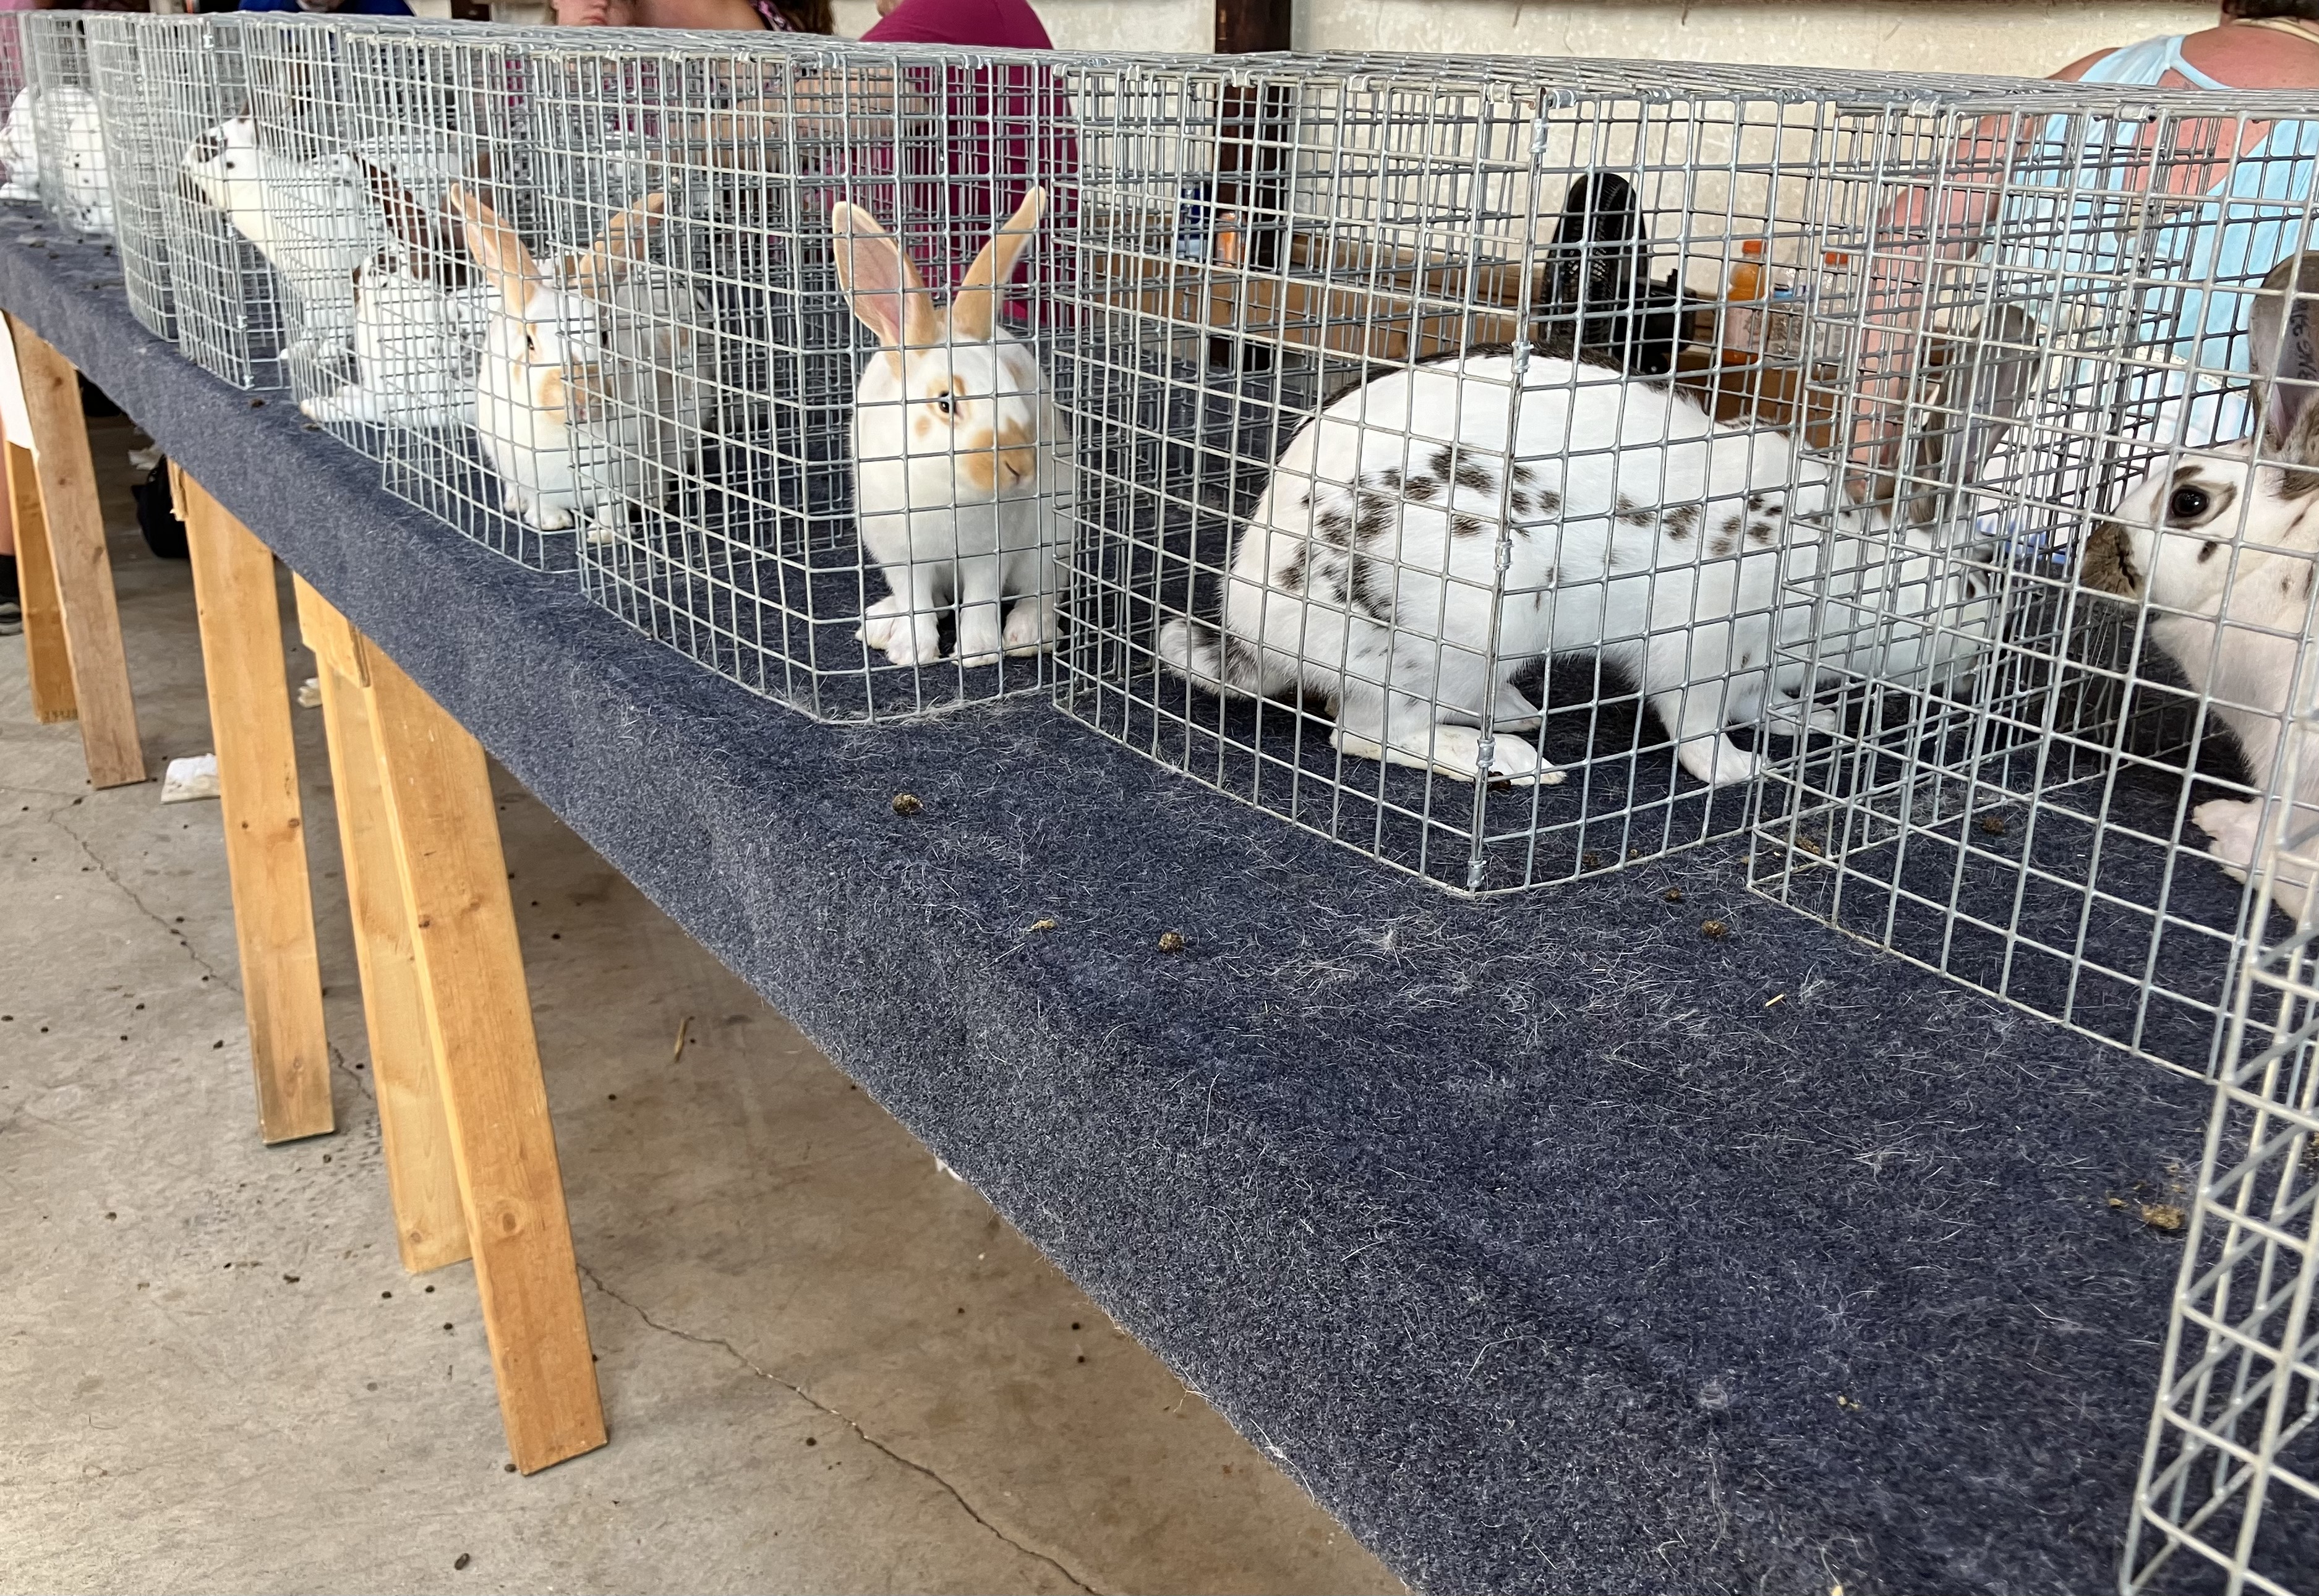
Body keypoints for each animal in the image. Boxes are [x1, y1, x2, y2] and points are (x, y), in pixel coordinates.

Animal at [301, 160, 488, 431]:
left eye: (378, 264)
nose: (353, 277)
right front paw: (343, 390)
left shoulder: (401, 406)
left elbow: (360, 408)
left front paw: (314, 406)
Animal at [450, 185, 704, 539]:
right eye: (529, 343)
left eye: (605, 336)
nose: (583, 397)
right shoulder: (531, 476)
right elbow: (542, 501)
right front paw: (551, 523)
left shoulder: (620, 474)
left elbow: (611, 507)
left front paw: (605, 536)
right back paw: (515, 504)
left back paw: (655, 499)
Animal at [831, 187, 1069, 669]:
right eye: (946, 403)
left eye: (1010, 386)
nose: (1019, 467)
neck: (944, 487)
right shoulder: (903, 557)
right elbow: (918, 601)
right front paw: (911, 653)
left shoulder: (990, 552)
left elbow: (980, 598)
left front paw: (978, 654)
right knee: (937, 600)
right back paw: (881, 624)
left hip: (1053, 540)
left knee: (1040, 593)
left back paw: (1027, 636)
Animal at [1158, 321, 2032, 789]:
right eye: (1971, 585)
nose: (1991, 657)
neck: (1839, 568)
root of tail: (1254, 619)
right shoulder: (1702, 647)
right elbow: (1698, 725)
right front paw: (1743, 771)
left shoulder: (1756, 667)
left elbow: (1761, 703)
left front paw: (1804, 720)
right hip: (1464, 624)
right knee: (1370, 733)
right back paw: (1509, 759)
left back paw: (1514, 711)